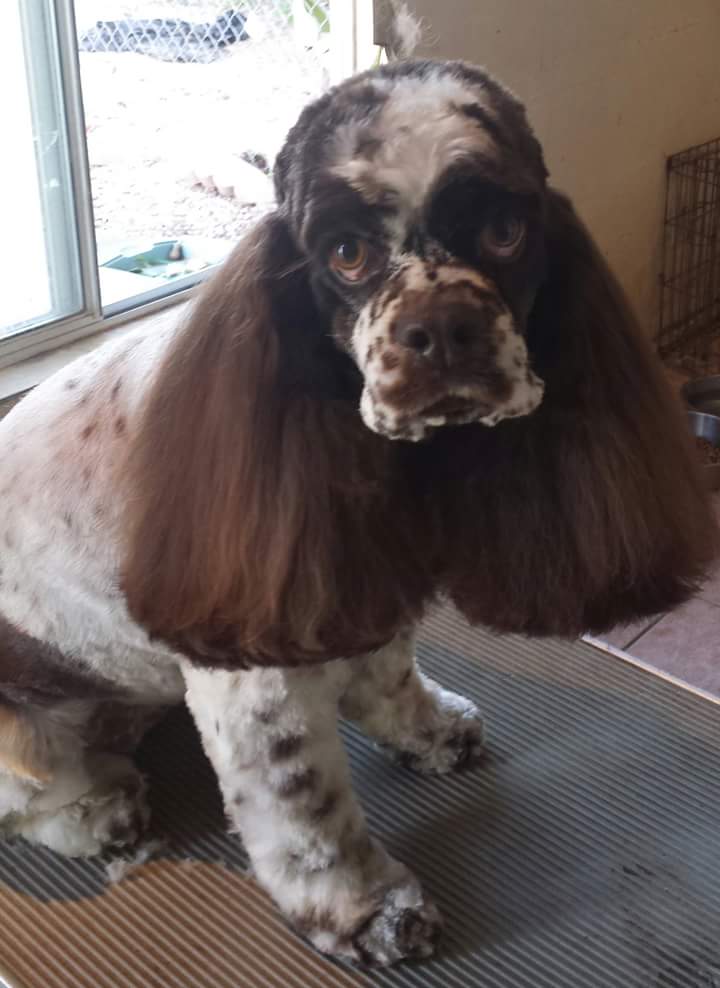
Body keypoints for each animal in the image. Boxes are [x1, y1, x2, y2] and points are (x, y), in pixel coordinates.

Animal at [0, 58, 716, 967]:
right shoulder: (256, 686)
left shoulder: (359, 582)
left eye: (506, 231)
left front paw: (428, 731)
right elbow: (308, 811)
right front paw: (368, 910)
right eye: (346, 253)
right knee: (33, 793)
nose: (442, 327)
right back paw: (100, 808)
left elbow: (389, 669)